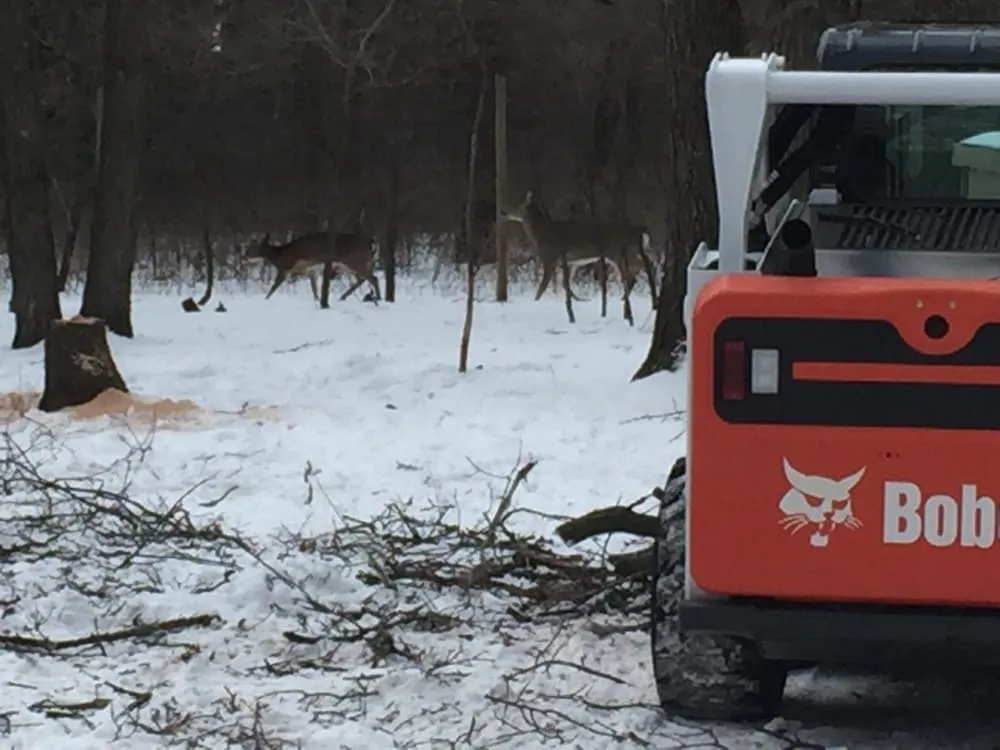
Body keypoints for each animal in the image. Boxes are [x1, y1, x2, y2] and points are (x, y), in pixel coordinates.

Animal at [245, 231, 381, 303]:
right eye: (248, 246)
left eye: (253, 247)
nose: (245, 255)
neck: (281, 254)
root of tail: (372, 243)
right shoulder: (310, 271)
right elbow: (314, 289)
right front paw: (317, 300)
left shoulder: (286, 268)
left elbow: (274, 287)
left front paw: (265, 299)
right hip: (351, 265)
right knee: (362, 279)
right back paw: (343, 297)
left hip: (356, 261)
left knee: (373, 278)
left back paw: (379, 298)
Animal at [500, 191, 658, 309]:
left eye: (517, 205)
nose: (503, 212)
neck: (541, 233)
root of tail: (641, 231)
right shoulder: (571, 262)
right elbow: (566, 284)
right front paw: (578, 300)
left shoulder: (550, 257)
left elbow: (543, 285)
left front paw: (536, 301)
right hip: (628, 252)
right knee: (643, 267)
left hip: (619, 252)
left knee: (634, 274)